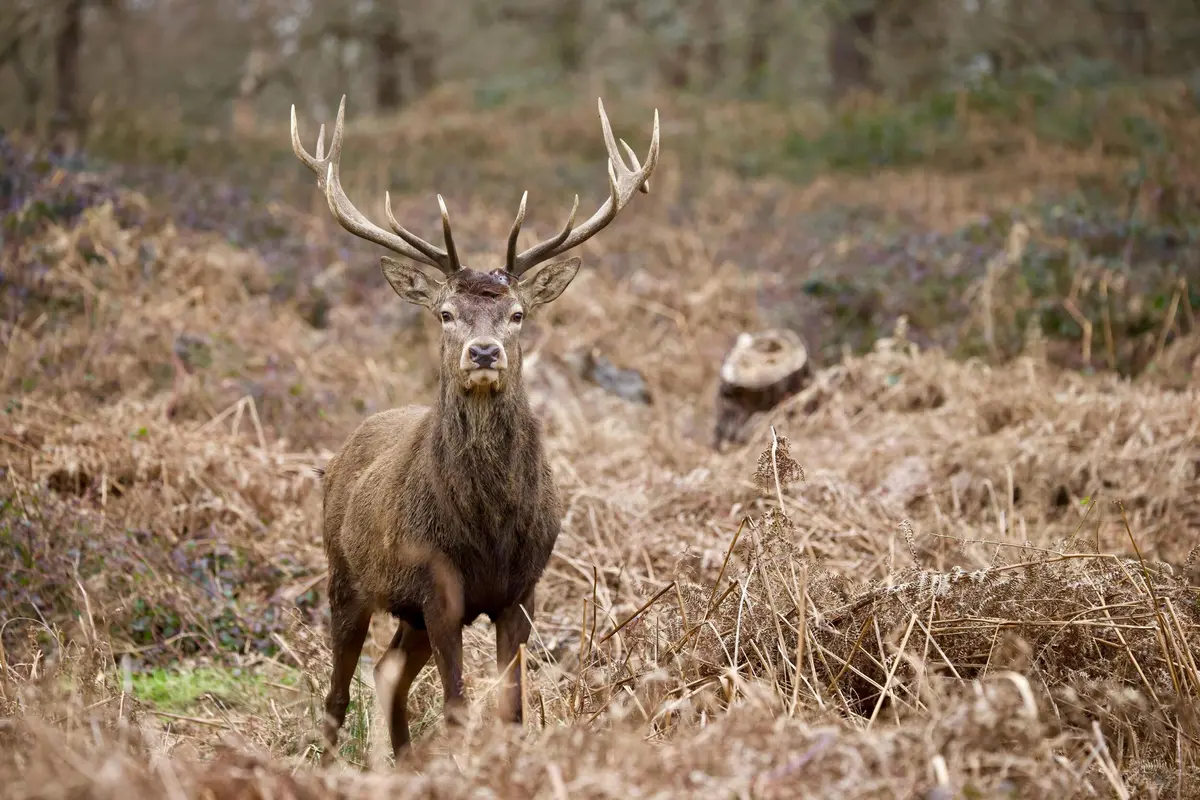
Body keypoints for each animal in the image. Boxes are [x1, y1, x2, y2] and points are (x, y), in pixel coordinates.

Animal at [289, 95, 660, 764]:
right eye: (445, 313)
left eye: (517, 314)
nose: (484, 352)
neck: (487, 530)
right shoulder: (440, 589)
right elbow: (459, 707)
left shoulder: (522, 591)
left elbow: (512, 709)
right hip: (344, 575)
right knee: (338, 690)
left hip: (404, 612)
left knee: (387, 672)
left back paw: (404, 763)